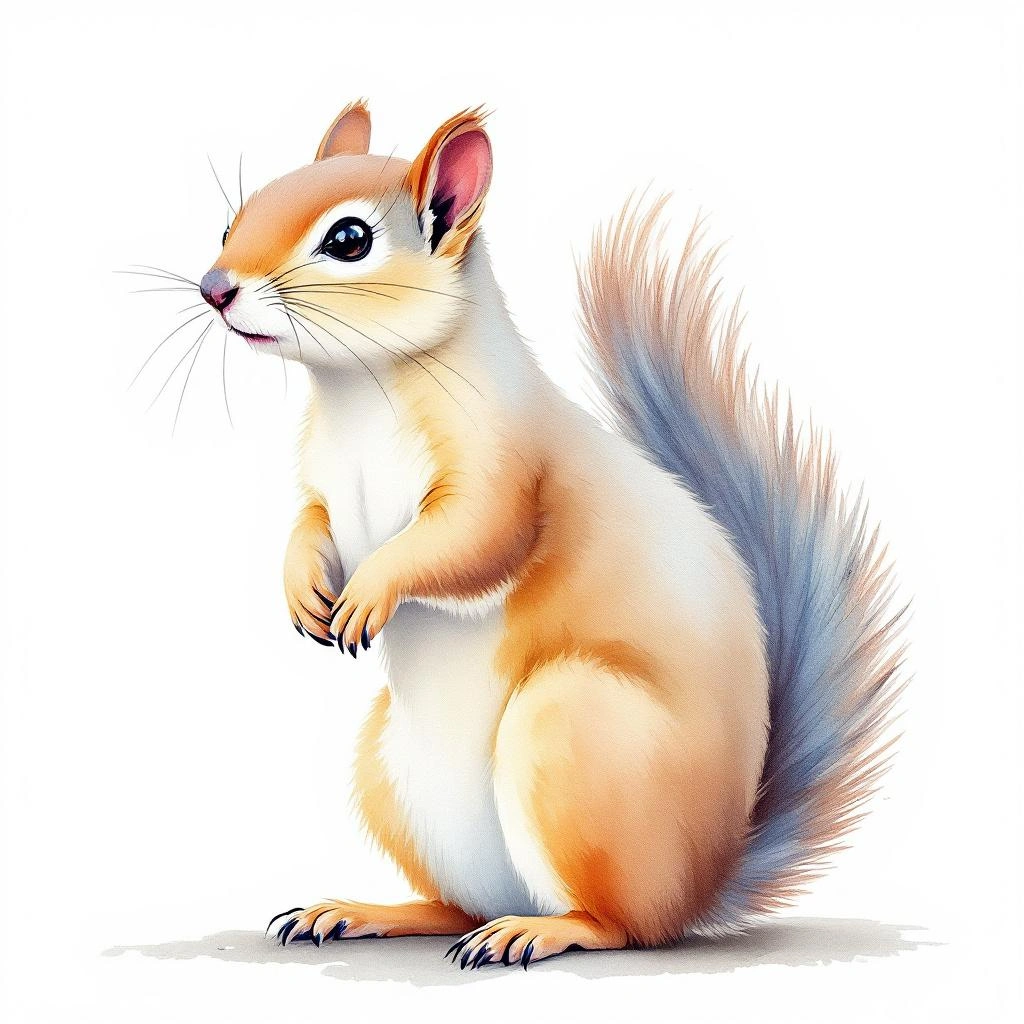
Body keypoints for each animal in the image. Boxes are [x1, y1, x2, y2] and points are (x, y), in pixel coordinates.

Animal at [186, 100, 905, 968]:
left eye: (349, 239)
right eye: (233, 219)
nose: (214, 288)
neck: (362, 388)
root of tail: (705, 881)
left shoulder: (506, 467)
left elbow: (470, 540)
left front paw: (369, 592)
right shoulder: (323, 483)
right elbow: (309, 521)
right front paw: (301, 587)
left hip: (571, 729)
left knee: (619, 926)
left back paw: (538, 930)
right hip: (389, 772)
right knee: (457, 905)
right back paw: (366, 911)